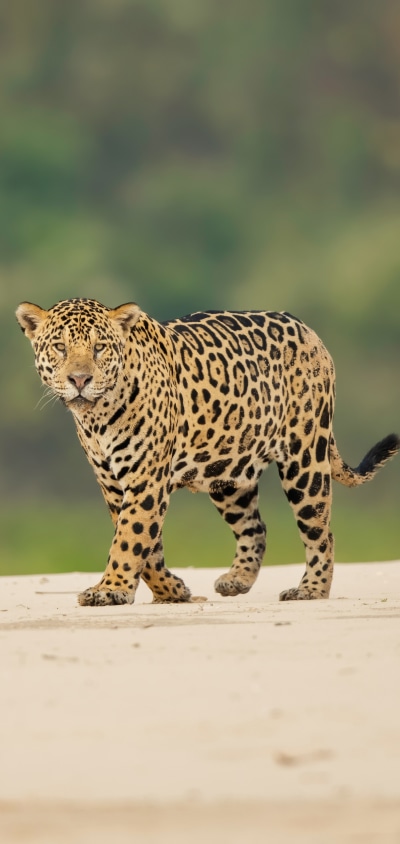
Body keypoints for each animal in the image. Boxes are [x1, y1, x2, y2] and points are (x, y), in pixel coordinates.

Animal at [16, 297, 399, 606]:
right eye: (60, 348)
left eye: (99, 349)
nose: (79, 380)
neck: (97, 416)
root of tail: (306, 328)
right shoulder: (112, 483)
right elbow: (146, 545)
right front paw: (171, 591)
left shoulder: (146, 479)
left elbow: (130, 536)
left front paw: (110, 589)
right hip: (229, 474)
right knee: (255, 527)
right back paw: (237, 580)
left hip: (304, 459)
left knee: (321, 531)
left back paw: (311, 589)